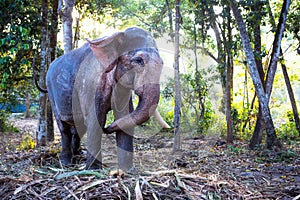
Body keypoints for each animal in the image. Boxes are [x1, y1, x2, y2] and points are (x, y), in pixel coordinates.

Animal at [45, 26, 169, 170]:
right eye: (139, 60)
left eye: (162, 63)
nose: (107, 128)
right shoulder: (91, 84)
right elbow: (96, 119)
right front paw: (93, 170)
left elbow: (124, 116)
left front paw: (127, 170)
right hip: (51, 92)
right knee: (64, 127)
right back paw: (65, 163)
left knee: (78, 127)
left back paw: (76, 157)